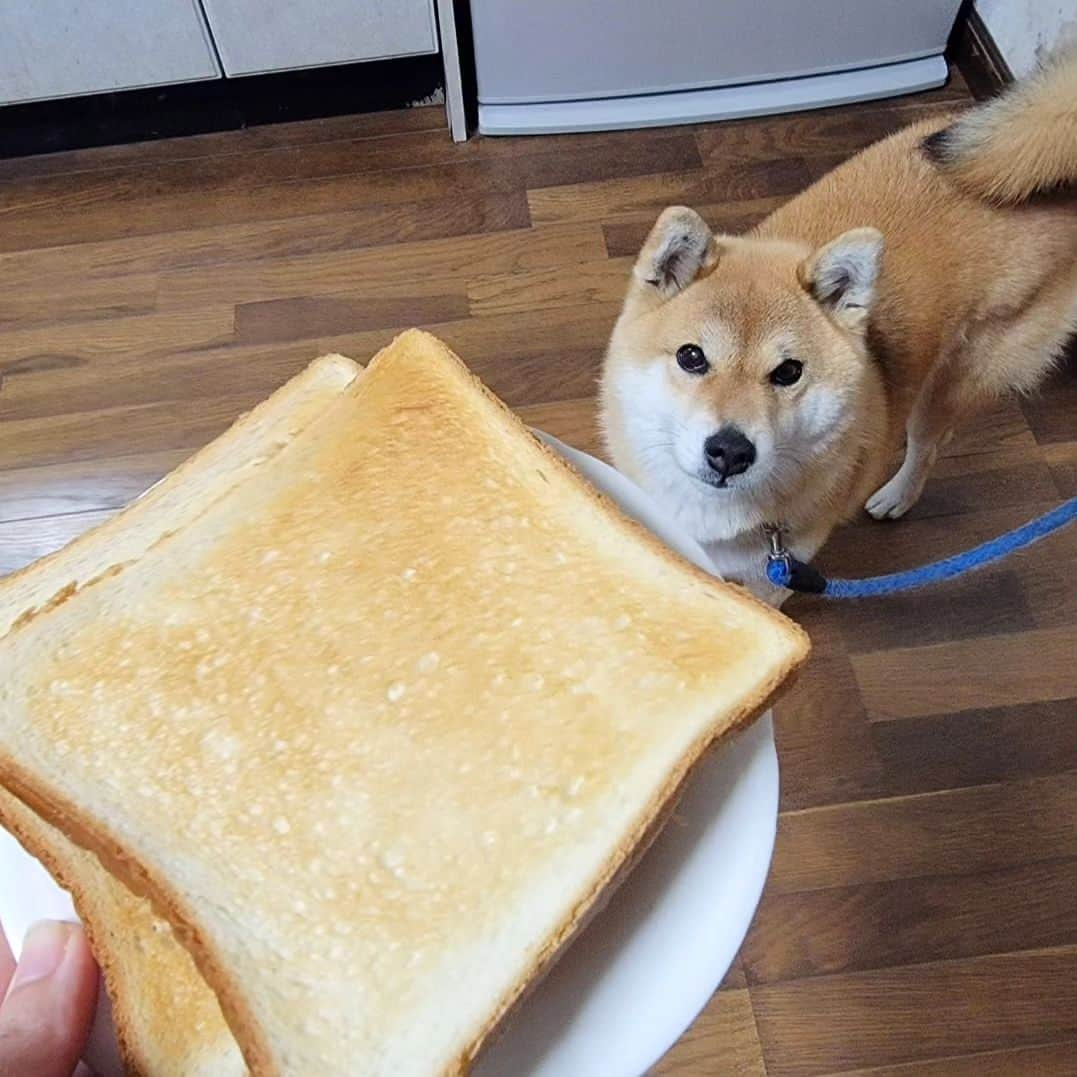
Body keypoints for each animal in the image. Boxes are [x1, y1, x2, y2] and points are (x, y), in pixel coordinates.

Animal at [603, 52, 1072, 598]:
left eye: (788, 372)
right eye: (691, 357)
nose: (730, 452)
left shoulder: (779, 575)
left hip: (951, 386)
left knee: (927, 448)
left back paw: (895, 495)